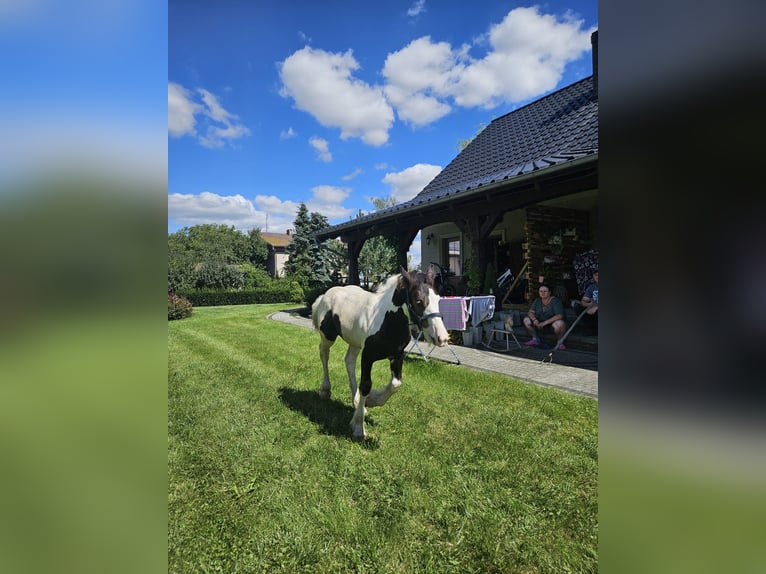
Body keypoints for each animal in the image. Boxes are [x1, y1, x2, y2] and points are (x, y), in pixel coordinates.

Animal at [312, 268, 450, 438]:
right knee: (324, 354)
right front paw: (359, 426)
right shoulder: (367, 357)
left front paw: (370, 401)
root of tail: (324, 296)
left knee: (349, 361)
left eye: (438, 299)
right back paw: (325, 391)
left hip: (355, 343)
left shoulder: (397, 356)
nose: (442, 338)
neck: (387, 320)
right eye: (418, 301)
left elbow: (396, 384)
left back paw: (356, 402)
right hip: (328, 337)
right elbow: (366, 385)